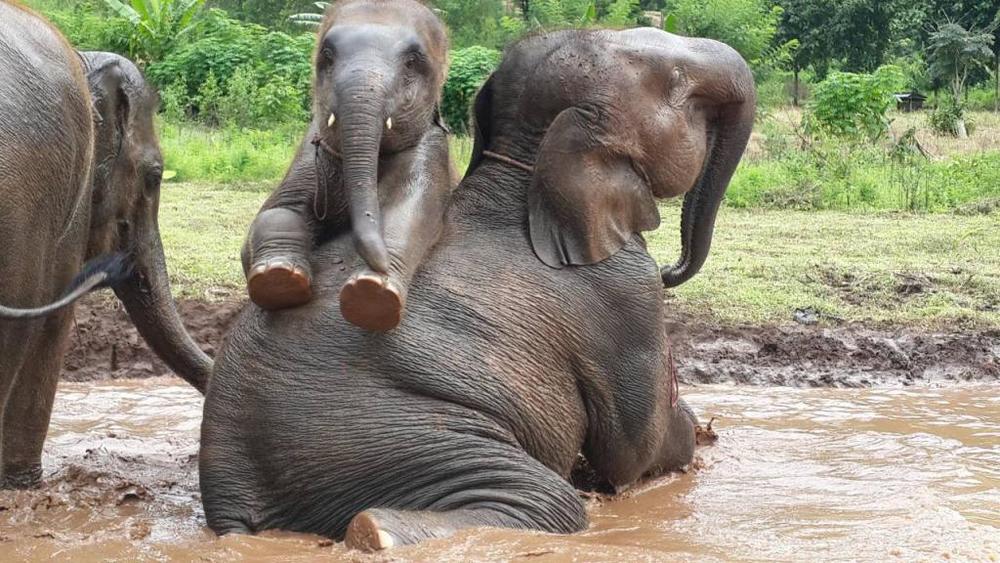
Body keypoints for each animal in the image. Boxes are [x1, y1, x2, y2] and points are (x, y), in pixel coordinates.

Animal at [243, 0, 453, 332]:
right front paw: (278, 279)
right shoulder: (310, 147)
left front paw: (373, 293)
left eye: (412, 61)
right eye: (327, 55)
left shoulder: (431, 151)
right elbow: (279, 210)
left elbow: (407, 212)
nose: (379, 264)